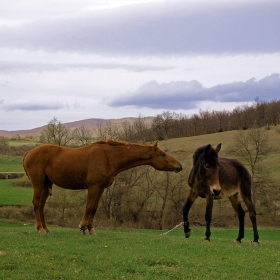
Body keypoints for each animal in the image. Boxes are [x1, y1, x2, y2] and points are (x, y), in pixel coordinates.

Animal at [23, 139, 183, 234]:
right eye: (163, 154)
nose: (179, 166)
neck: (108, 157)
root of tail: (29, 152)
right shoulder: (93, 187)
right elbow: (89, 207)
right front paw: (83, 227)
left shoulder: (100, 188)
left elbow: (94, 209)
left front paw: (90, 228)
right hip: (38, 185)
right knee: (36, 205)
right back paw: (40, 229)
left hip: (45, 186)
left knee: (41, 206)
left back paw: (45, 228)